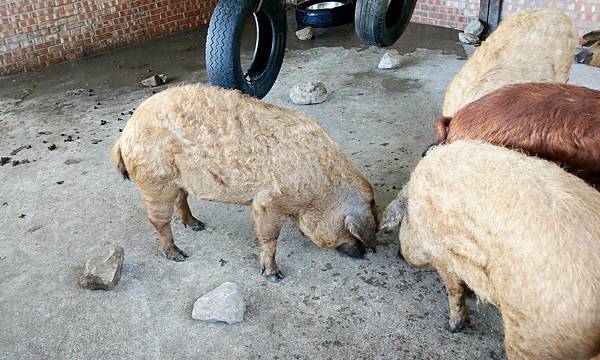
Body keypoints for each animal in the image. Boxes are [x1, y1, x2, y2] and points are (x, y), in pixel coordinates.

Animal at [110, 83, 378, 282]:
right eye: (352, 233)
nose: (365, 254)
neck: (319, 189)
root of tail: (124, 136)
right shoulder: (269, 201)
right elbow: (269, 236)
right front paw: (274, 276)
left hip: (177, 180)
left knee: (181, 199)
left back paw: (198, 225)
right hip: (155, 181)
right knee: (159, 221)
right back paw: (179, 255)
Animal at [382, 141, 600, 360]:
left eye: (402, 223)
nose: (399, 254)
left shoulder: (442, 255)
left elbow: (454, 291)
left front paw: (453, 327)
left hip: (534, 337)